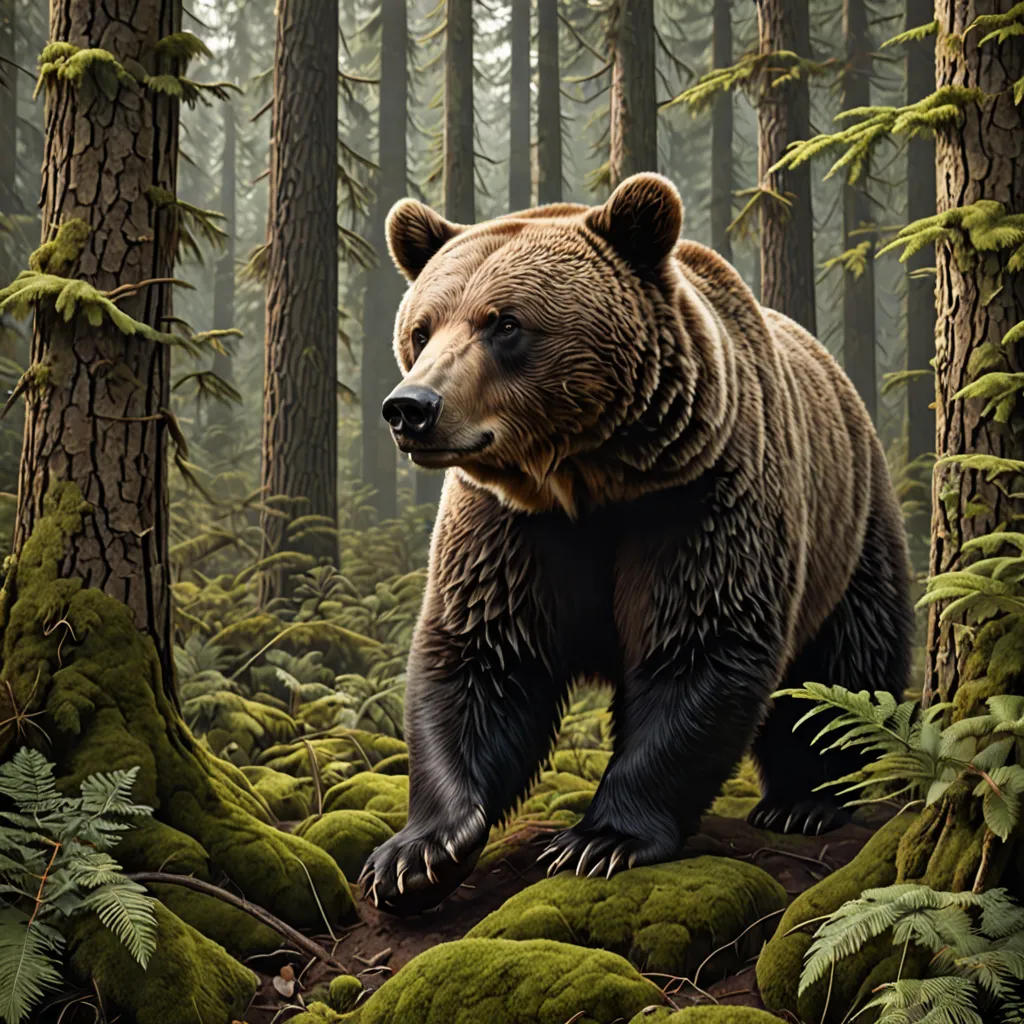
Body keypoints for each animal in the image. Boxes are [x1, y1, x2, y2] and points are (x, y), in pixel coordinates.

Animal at [360, 173, 913, 916]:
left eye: (504, 323)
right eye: (420, 329)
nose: (411, 408)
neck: (586, 479)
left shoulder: (698, 498)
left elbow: (700, 645)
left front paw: (600, 839)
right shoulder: (507, 528)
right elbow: (480, 653)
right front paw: (417, 853)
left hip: (851, 516)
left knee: (846, 660)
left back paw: (805, 800)